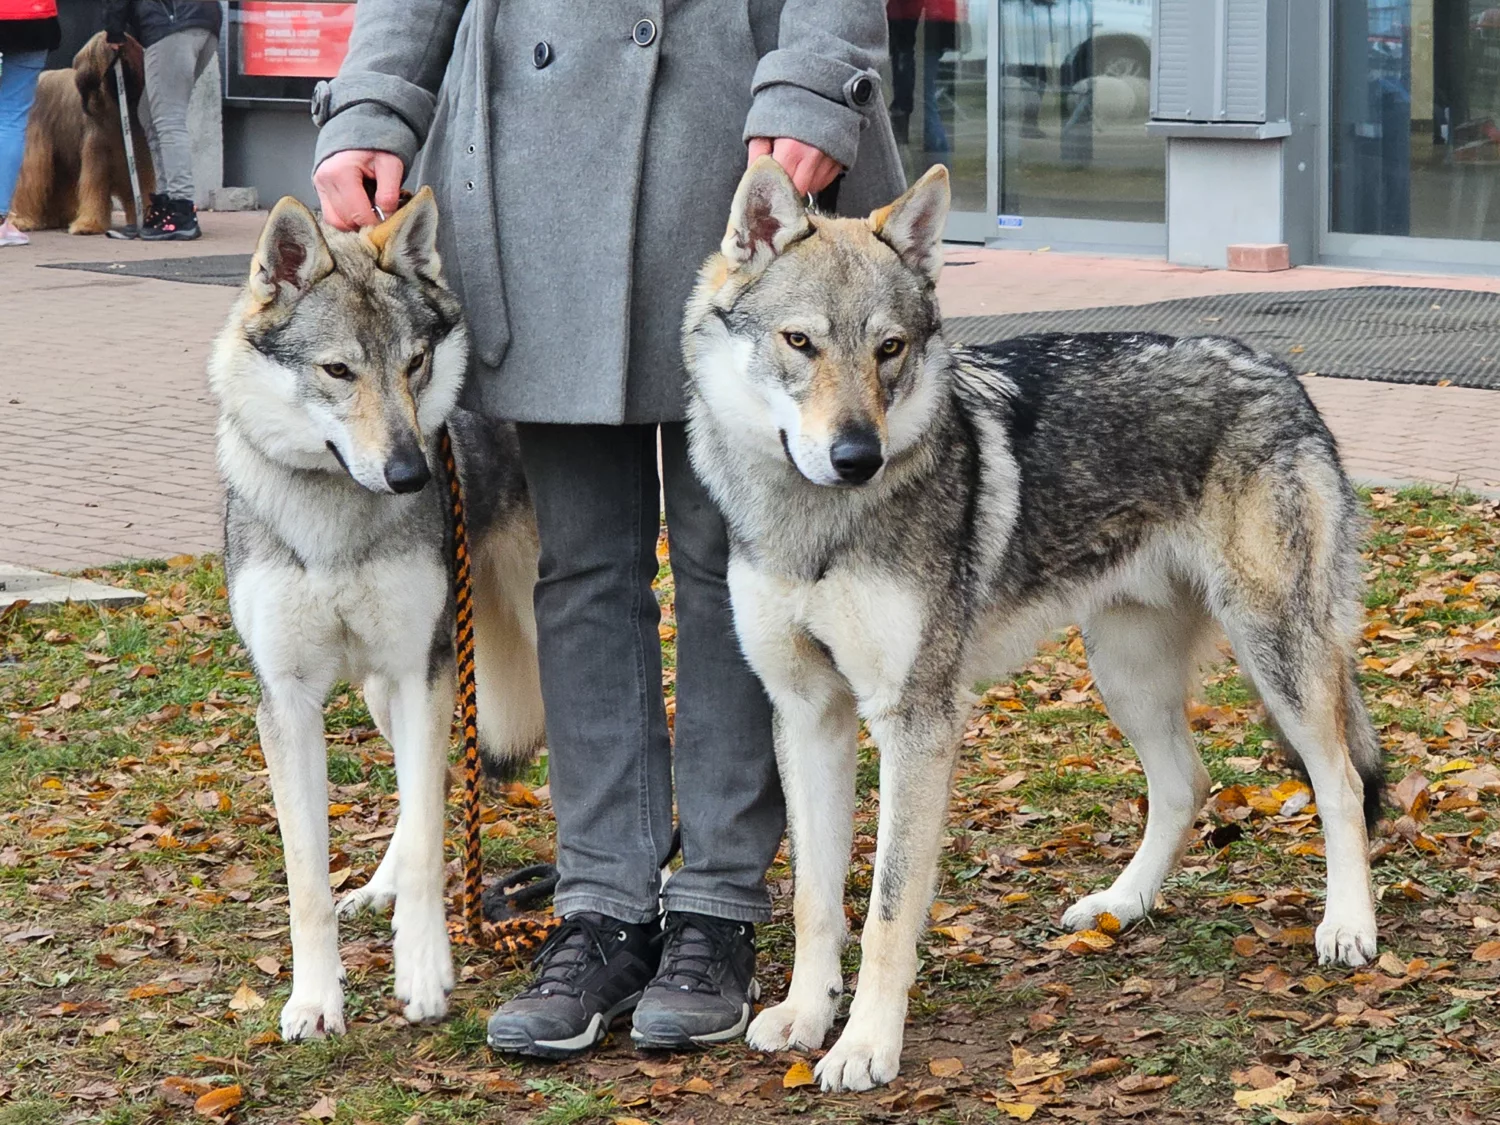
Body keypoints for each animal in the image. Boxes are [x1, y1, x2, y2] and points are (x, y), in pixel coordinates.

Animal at [7, 33, 155, 235]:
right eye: (100, 58)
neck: (116, 109)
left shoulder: (138, 159)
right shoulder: (96, 157)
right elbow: (94, 188)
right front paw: (88, 224)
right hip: (36, 151)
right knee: (29, 181)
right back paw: (22, 219)